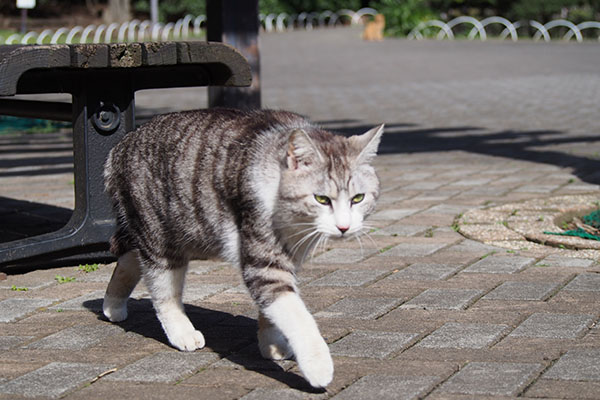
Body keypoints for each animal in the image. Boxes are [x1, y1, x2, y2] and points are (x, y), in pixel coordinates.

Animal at [102, 108, 384, 388]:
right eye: (322, 199)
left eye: (358, 198)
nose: (344, 227)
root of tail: (121, 145)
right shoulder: (263, 260)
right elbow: (295, 314)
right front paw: (318, 366)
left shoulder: (289, 258)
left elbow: (271, 310)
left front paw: (271, 344)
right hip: (161, 238)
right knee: (163, 291)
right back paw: (182, 333)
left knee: (129, 259)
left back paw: (112, 306)